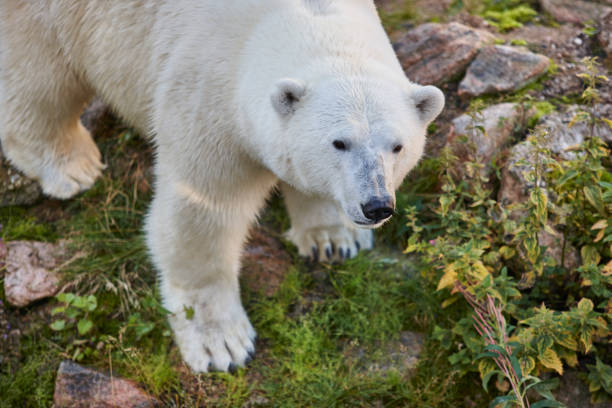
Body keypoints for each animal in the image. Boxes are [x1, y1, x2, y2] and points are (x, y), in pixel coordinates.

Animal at [0, 0, 442, 372]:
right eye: (339, 142)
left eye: (398, 146)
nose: (376, 205)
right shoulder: (207, 99)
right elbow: (202, 211)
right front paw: (221, 344)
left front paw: (333, 239)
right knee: (40, 78)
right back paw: (71, 166)